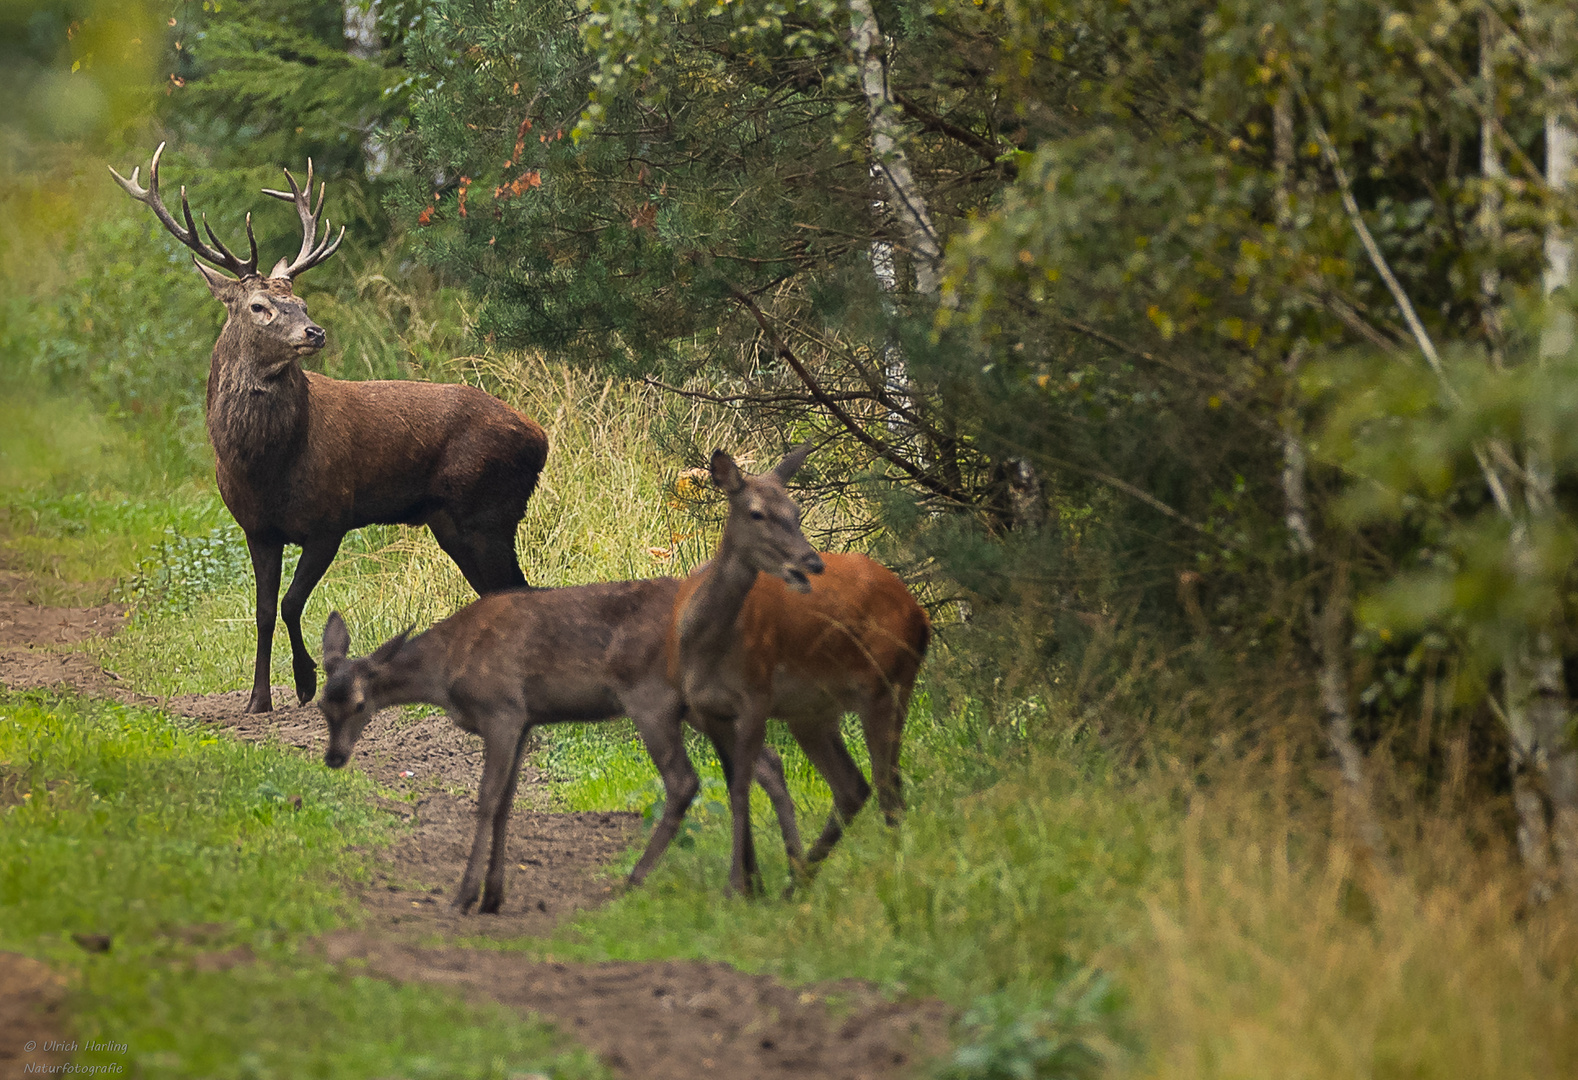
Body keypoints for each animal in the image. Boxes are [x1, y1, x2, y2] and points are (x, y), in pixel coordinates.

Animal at [108, 145, 545, 716]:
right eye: (259, 306)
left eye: (303, 303)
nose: (314, 332)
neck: (266, 465)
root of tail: (541, 438)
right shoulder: (256, 527)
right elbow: (264, 609)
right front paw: (258, 699)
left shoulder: (330, 516)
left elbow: (293, 603)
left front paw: (306, 681)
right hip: (454, 522)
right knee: (508, 593)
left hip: (487, 511)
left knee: (523, 591)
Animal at [321, 587, 807, 915]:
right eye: (323, 704)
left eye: (360, 705)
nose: (333, 758)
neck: (447, 672)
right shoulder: (525, 720)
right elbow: (507, 803)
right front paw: (494, 895)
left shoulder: (502, 709)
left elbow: (488, 800)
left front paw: (465, 895)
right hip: (699, 704)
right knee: (764, 763)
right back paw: (784, 878)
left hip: (651, 697)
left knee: (684, 780)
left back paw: (636, 881)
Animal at [669, 448, 934, 896]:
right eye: (756, 512)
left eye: (795, 511)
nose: (811, 562)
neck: (704, 647)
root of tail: (920, 613)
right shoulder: (708, 711)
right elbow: (735, 784)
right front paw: (750, 884)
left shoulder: (756, 697)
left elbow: (741, 788)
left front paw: (738, 887)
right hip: (812, 713)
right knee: (853, 786)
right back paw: (797, 883)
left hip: (886, 684)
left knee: (888, 785)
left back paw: (892, 870)